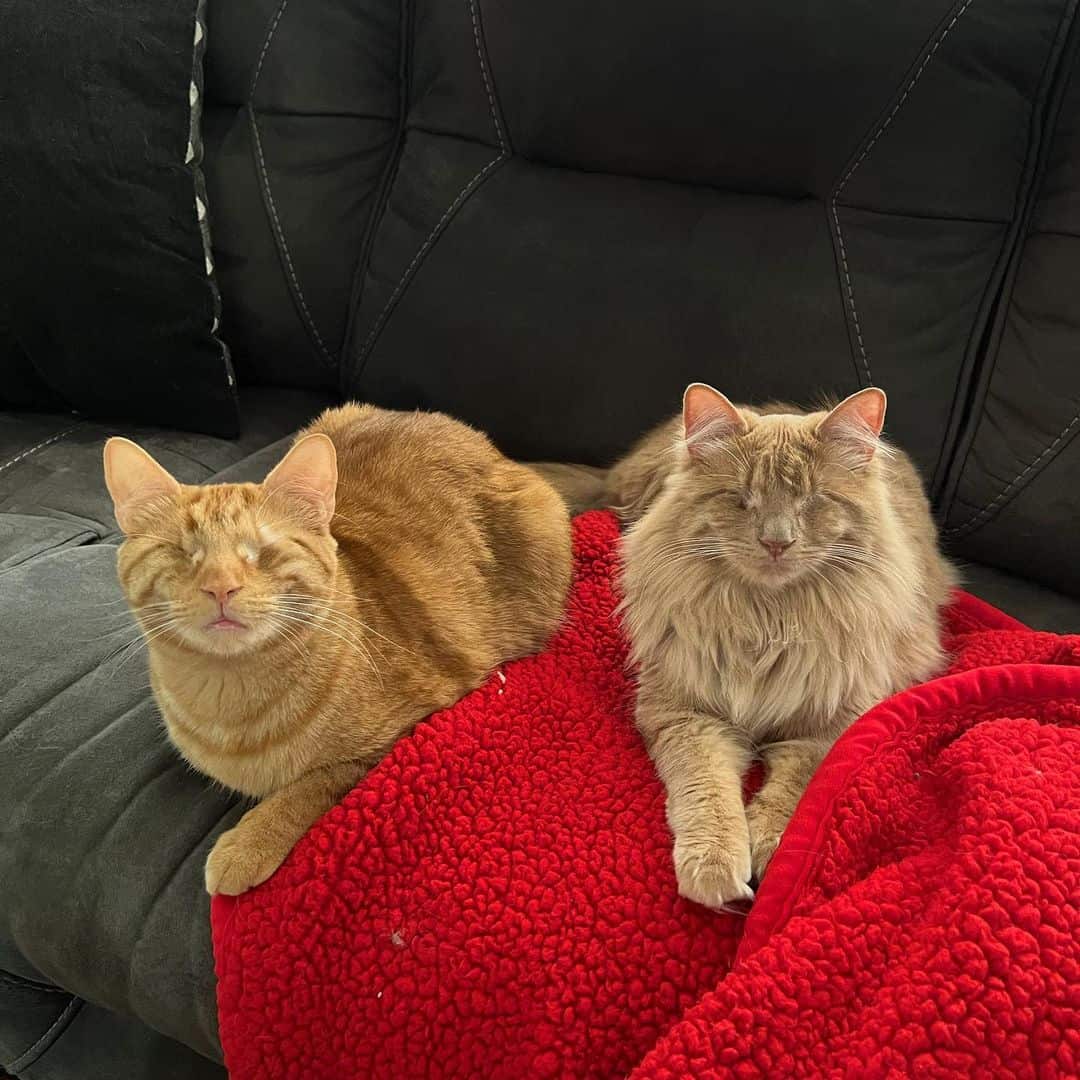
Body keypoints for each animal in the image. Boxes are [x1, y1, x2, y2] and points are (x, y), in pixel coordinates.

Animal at [103, 406, 574, 894]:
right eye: (182, 551)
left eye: (263, 550)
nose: (220, 587)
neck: (229, 706)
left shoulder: (399, 736)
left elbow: (312, 784)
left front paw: (248, 842)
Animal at [609, 384, 954, 907]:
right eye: (741, 500)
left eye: (812, 501)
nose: (777, 542)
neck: (768, 621)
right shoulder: (687, 713)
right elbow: (706, 792)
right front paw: (715, 867)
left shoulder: (829, 726)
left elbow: (794, 791)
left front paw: (771, 847)